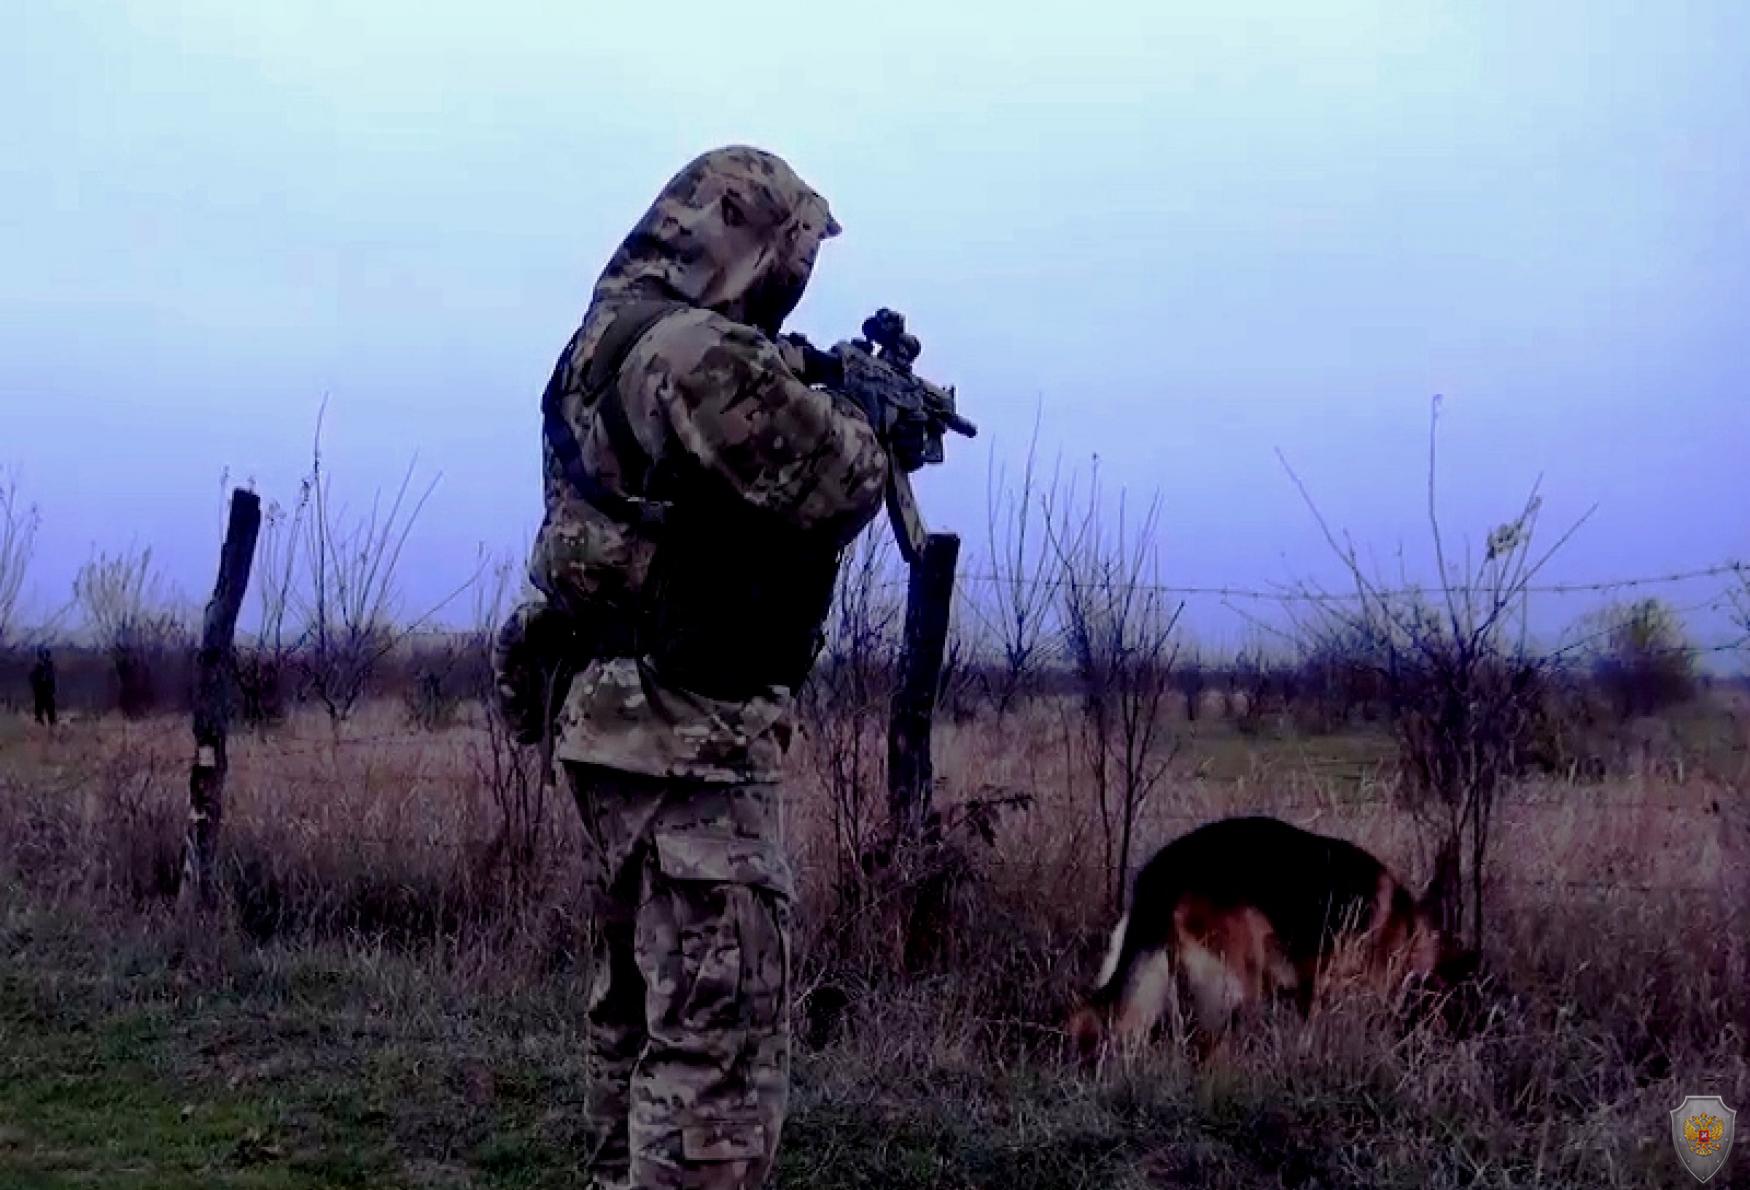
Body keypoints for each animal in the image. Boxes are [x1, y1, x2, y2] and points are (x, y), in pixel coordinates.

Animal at [1064, 819, 1477, 1057]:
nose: (1462, 1041)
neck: (1411, 936)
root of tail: (1164, 868)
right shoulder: (1323, 987)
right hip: (1235, 981)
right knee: (1206, 1045)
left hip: (1148, 969)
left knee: (1094, 1016)